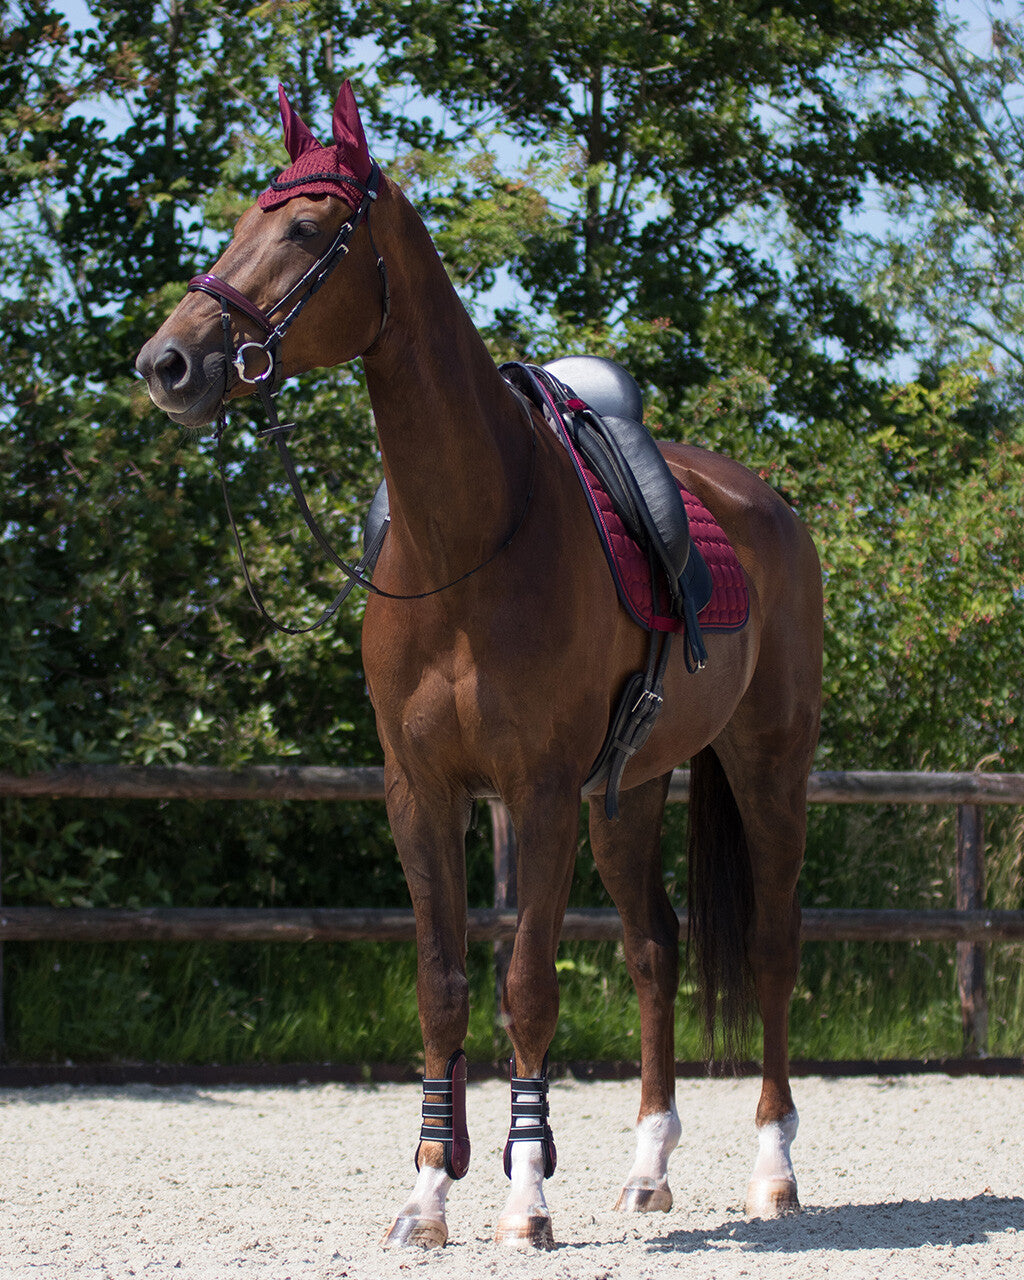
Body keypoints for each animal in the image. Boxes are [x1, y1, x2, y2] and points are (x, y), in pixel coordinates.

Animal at [138, 82, 824, 1249]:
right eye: (238, 220)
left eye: (308, 228)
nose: (169, 363)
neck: (467, 540)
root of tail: (764, 505)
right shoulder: (423, 792)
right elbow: (446, 987)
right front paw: (427, 1193)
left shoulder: (535, 792)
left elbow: (528, 986)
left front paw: (524, 1197)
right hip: (630, 791)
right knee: (654, 951)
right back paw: (647, 1170)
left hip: (767, 765)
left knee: (774, 951)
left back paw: (773, 1172)